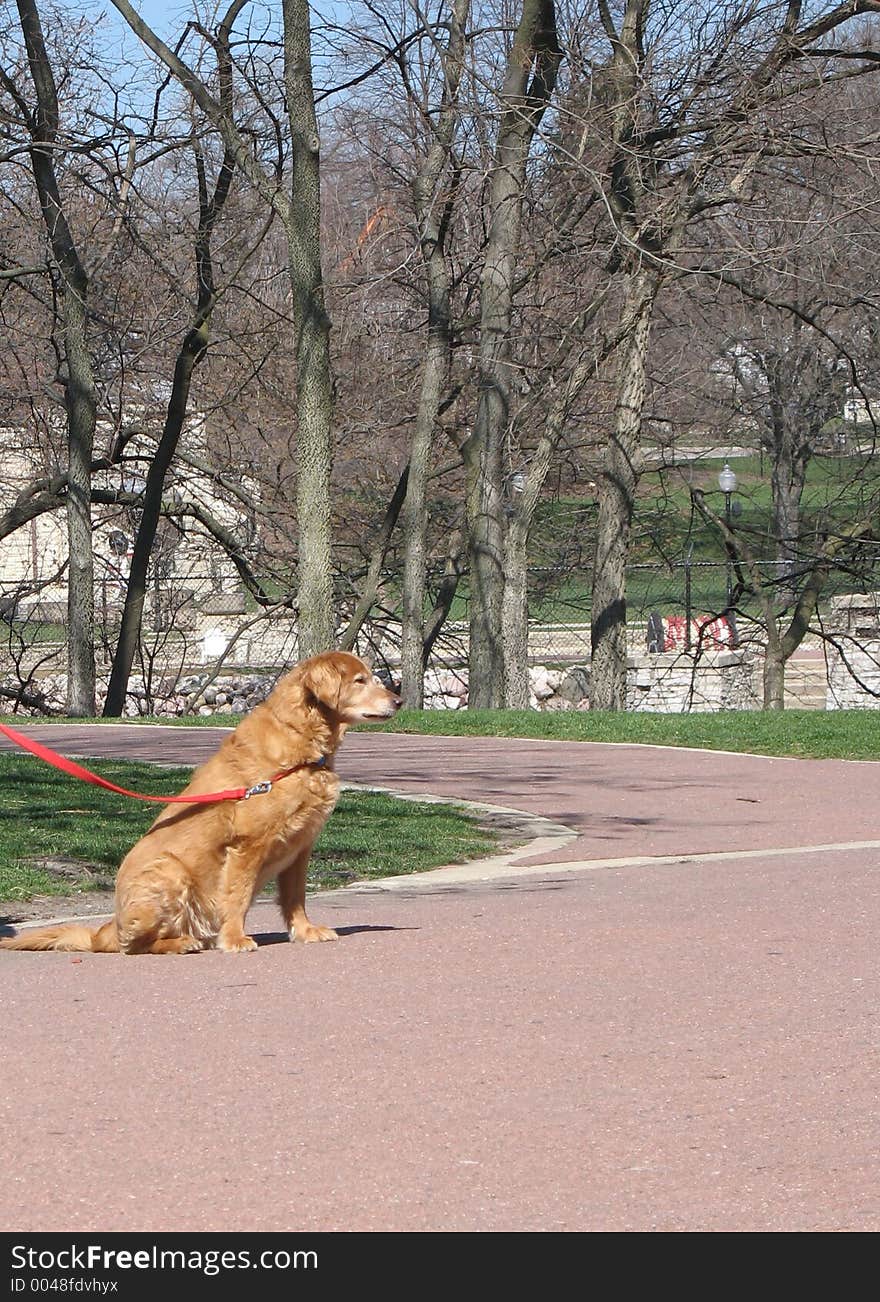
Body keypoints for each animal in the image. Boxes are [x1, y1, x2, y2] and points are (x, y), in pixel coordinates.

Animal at [1, 651, 400, 958]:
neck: (301, 752)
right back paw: (181, 943)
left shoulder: (300, 847)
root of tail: (106, 930)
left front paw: (304, 931)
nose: (398, 700)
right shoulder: (247, 846)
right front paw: (235, 939)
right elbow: (237, 897)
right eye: (360, 680)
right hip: (170, 873)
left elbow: (295, 898)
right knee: (135, 946)